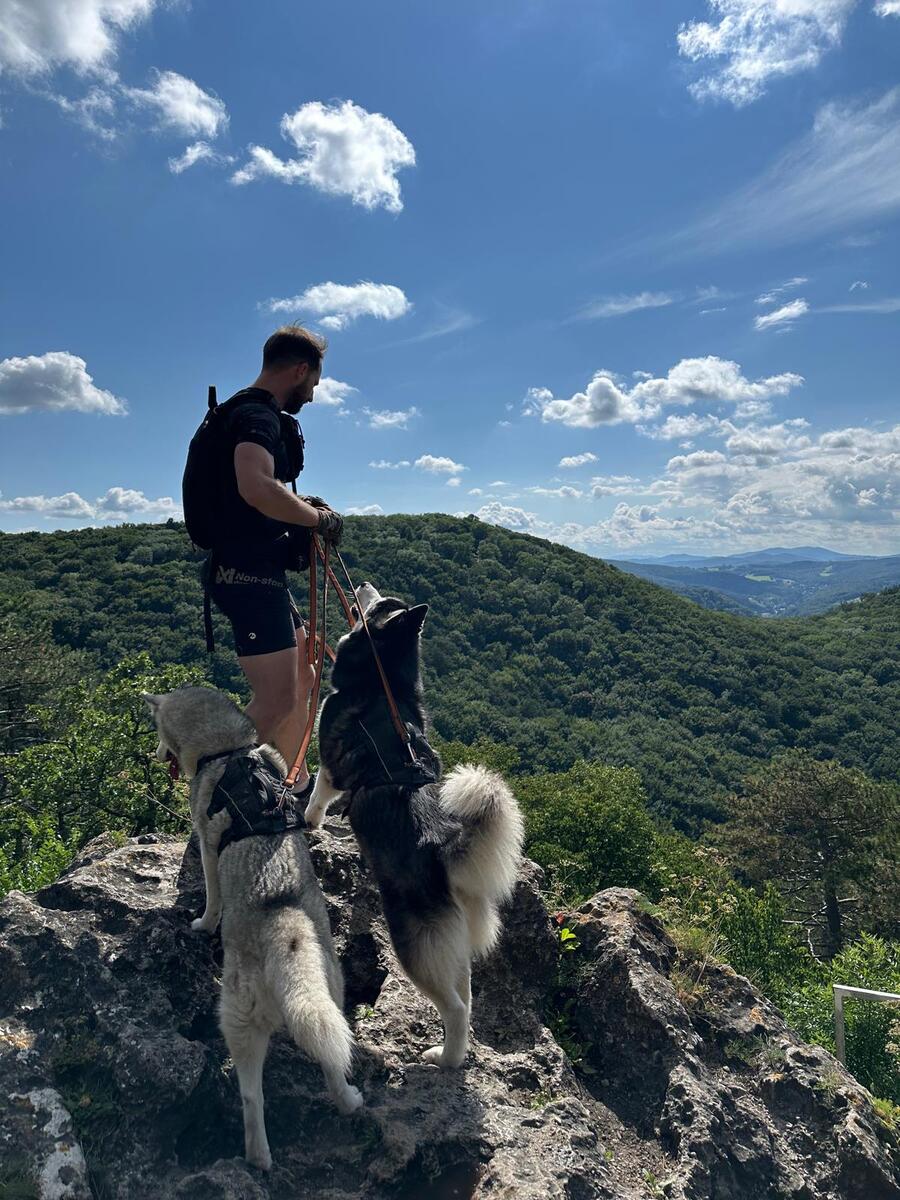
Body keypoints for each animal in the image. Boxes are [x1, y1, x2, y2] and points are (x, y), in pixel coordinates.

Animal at [142, 686, 361, 1171]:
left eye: (160, 732)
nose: (157, 754)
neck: (227, 751)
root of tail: (282, 922)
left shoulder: (206, 841)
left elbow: (211, 893)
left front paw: (202, 922)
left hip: (237, 1019)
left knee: (250, 1097)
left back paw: (257, 1158)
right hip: (330, 995)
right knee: (333, 1058)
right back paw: (349, 1101)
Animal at [304, 583, 524, 1069]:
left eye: (380, 603)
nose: (361, 584)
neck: (383, 680)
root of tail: (443, 845)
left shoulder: (330, 759)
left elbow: (318, 793)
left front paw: (309, 820)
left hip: (414, 943)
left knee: (455, 1007)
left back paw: (445, 1059)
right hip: (452, 942)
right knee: (467, 995)